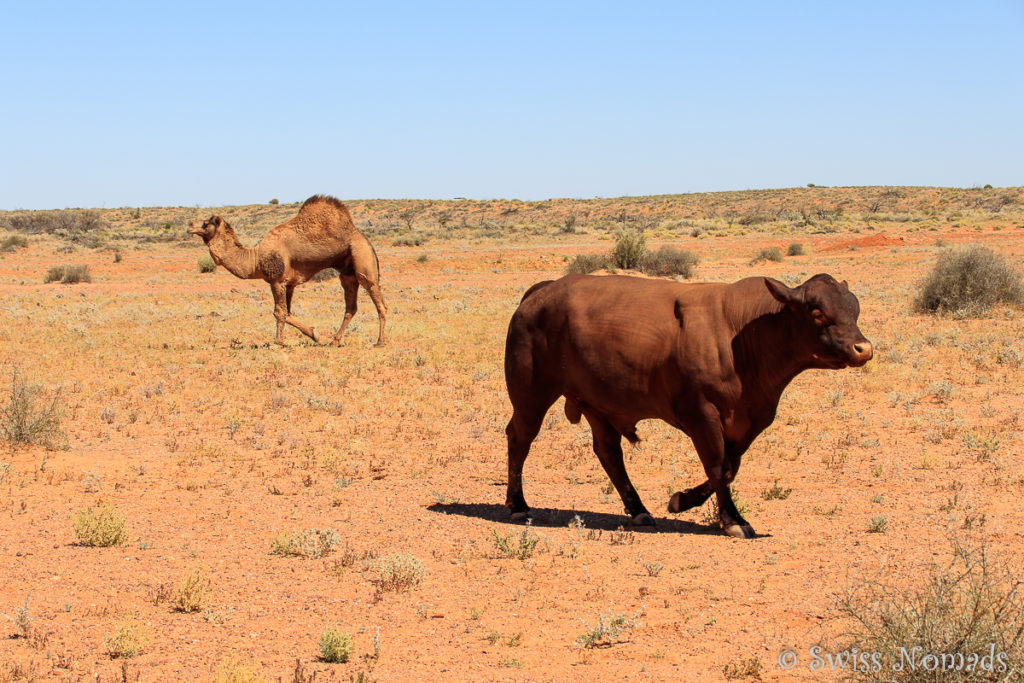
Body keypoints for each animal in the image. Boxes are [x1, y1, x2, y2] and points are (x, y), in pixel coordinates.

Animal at [189, 196, 387, 348]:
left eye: (205, 224)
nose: (190, 226)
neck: (255, 258)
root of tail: (362, 235)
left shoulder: (277, 281)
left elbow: (278, 312)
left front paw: (277, 343)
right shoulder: (289, 283)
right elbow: (288, 313)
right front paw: (315, 335)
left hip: (363, 260)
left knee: (379, 301)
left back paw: (379, 342)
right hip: (347, 273)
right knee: (351, 307)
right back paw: (335, 341)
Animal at [499, 272, 868, 540]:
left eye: (854, 310)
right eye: (817, 312)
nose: (863, 348)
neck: (742, 335)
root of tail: (543, 290)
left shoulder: (751, 419)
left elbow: (730, 467)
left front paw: (683, 500)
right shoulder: (701, 413)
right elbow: (718, 467)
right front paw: (733, 520)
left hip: (598, 404)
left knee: (608, 452)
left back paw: (638, 510)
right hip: (531, 395)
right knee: (520, 438)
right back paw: (518, 504)